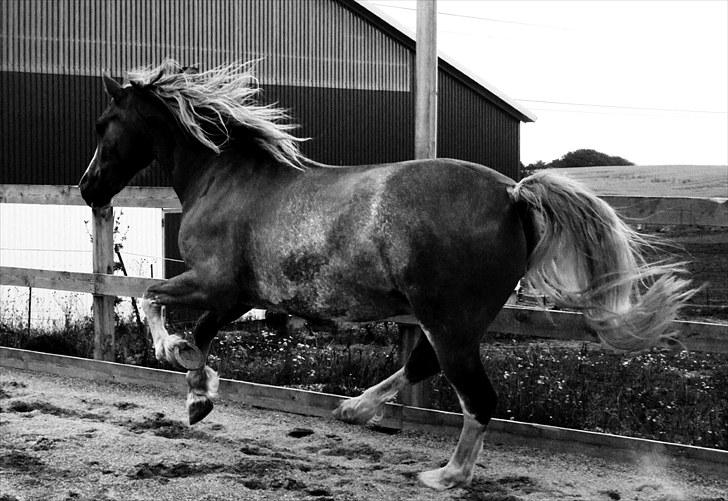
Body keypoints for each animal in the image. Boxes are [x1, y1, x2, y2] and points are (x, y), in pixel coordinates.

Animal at [81, 61, 692, 488]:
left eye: (105, 123)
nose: (88, 188)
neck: (225, 177)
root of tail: (513, 193)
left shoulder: (214, 282)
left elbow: (154, 299)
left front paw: (175, 357)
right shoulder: (237, 296)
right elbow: (202, 333)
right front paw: (198, 396)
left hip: (448, 318)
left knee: (476, 394)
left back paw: (445, 475)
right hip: (453, 318)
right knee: (425, 364)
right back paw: (356, 409)